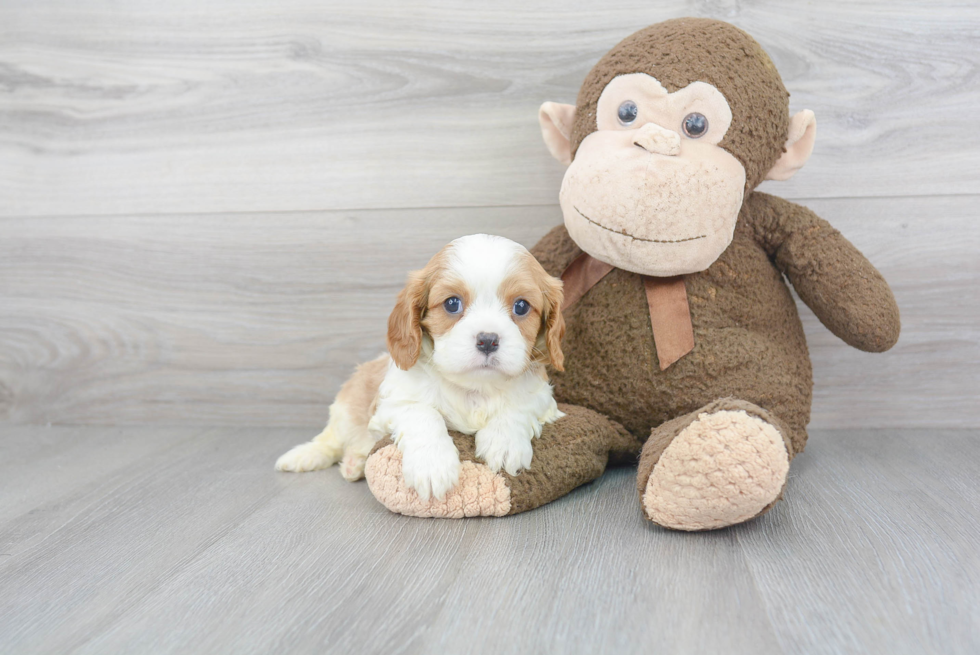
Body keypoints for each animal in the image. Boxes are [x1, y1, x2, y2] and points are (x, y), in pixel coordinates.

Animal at [278, 233, 568, 500]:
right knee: (330, 441)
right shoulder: (392, 403)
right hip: (345, 410)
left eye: (521, 306)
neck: (474, 388)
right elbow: (423, 413)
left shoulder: (542, 396)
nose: (488, 340)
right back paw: (307, 457)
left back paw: (354, 464)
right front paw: (432, 466)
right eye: (452, 303)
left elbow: (518, 407)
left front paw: (504, 442)